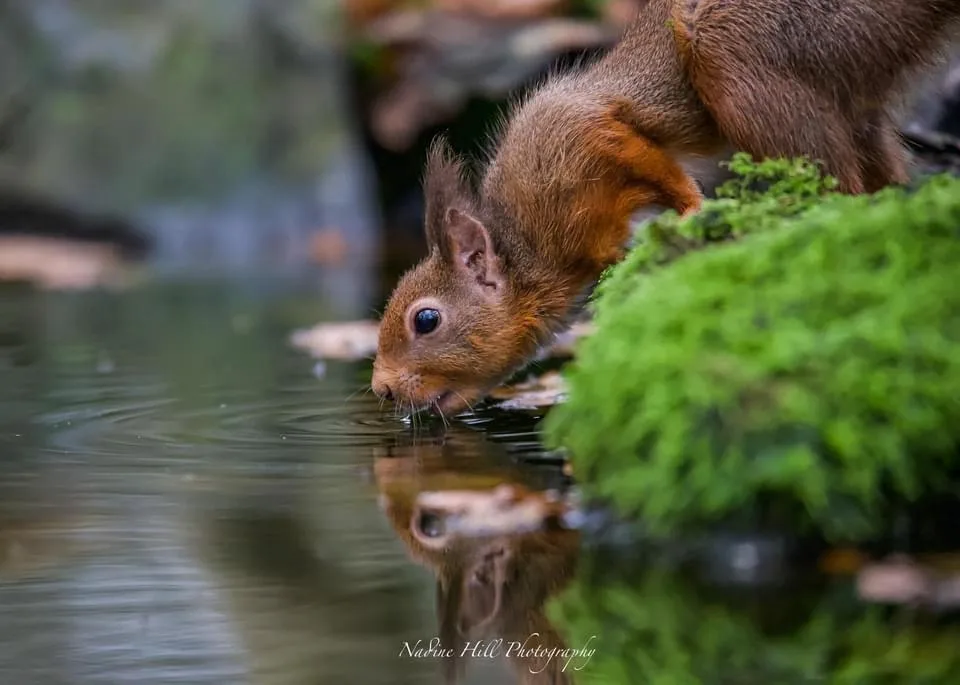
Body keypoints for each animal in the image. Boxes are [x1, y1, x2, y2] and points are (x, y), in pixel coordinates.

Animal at [372, 0, 960, 416]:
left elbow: (649, 158)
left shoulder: (577, 136)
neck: (532, 248)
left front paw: (694, 210)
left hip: (737, 49)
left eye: (426, 320)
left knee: (839, 186)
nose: (380, 390)